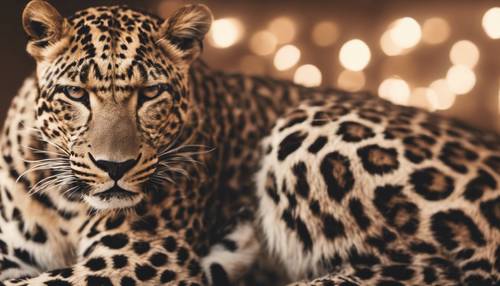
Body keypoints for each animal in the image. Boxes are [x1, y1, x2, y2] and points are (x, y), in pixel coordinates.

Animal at [0, 0, 498, 286]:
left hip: (305, 128)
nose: (114, 167)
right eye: (75, 94)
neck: (69, 202)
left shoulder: (135, 260)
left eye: (150, 93)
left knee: (427, 270)